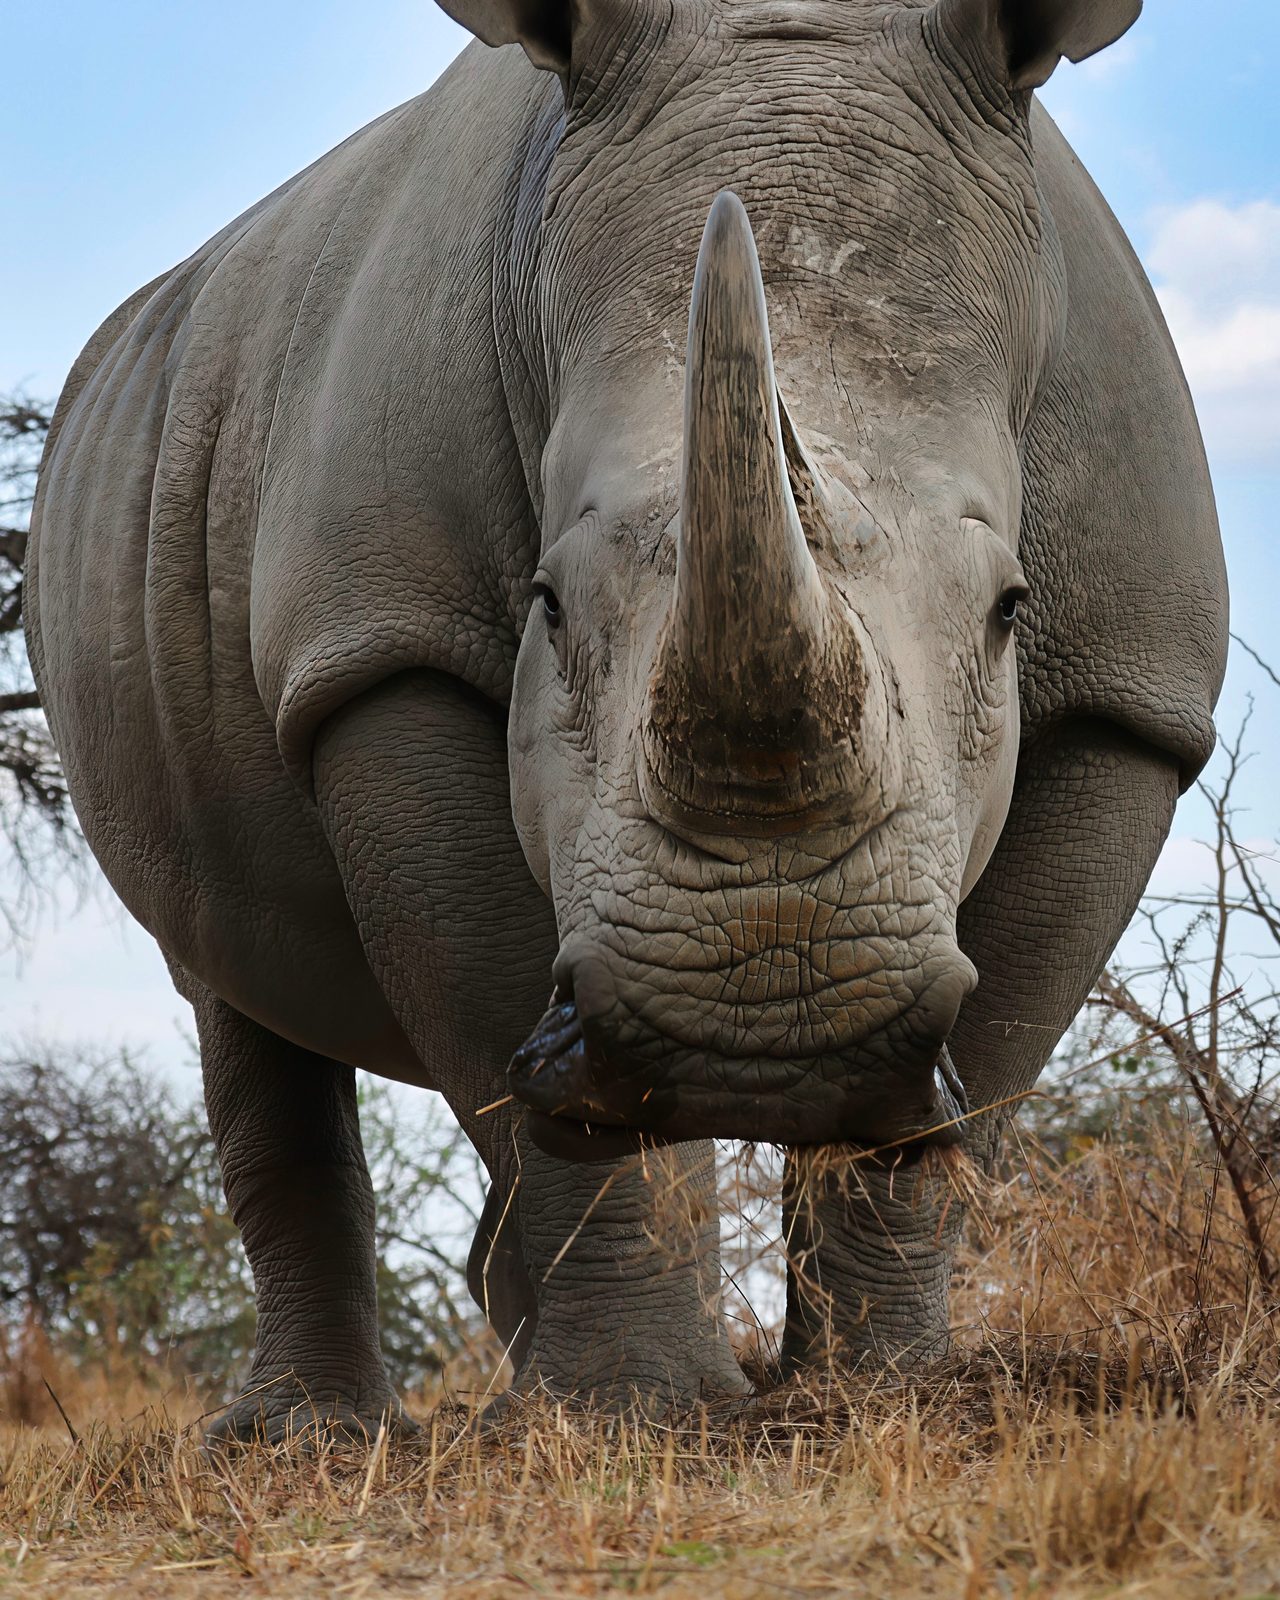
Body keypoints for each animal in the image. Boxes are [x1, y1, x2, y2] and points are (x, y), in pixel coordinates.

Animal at [29, 0, 1227, 1437]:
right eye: (545, 605)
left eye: (1009, 611)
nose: (767, 1026)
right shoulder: (381, 644)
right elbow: (508, 1020)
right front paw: (633, 1417)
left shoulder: (1128, 693)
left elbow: (986, 1066)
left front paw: (876, 1405)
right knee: (228, 982)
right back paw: (302, 1442)